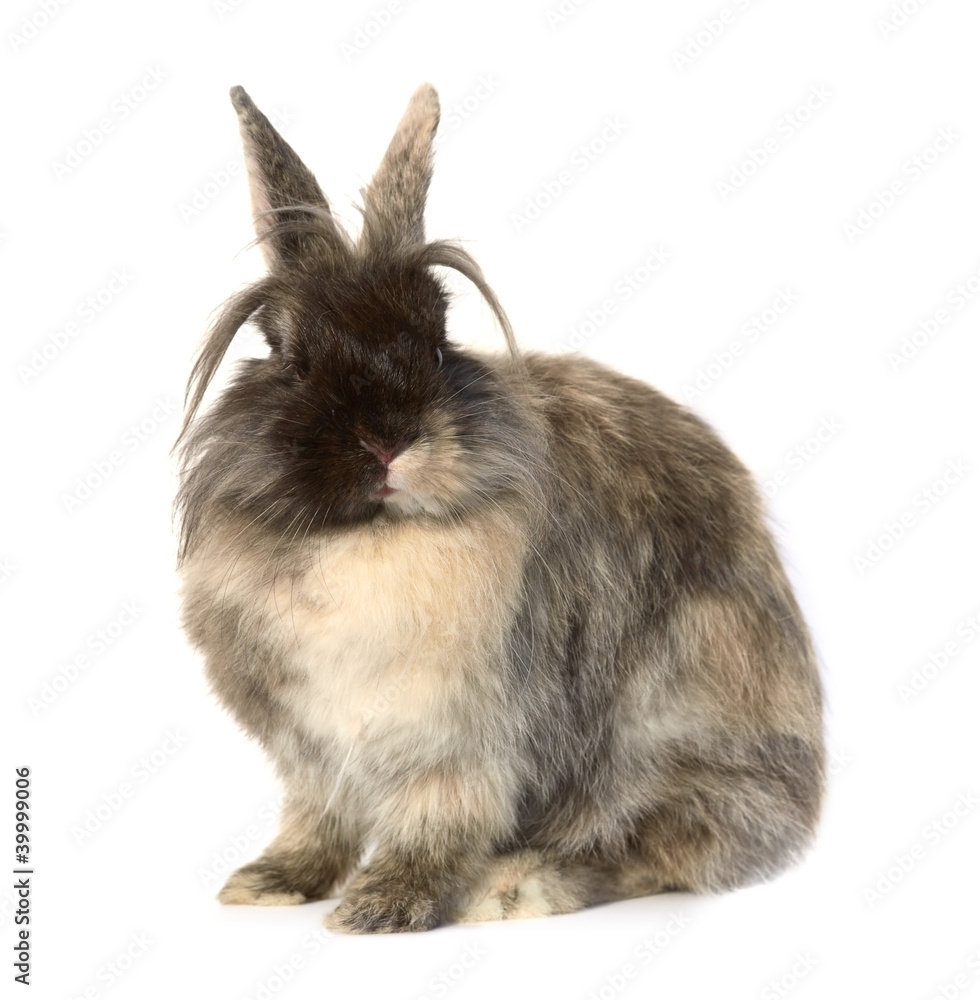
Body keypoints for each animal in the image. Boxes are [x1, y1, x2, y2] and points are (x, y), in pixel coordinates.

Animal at [175, 83, 825, 934]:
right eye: (295, 357)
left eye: (436, 341)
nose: (390, 440)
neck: (368, 539)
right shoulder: (312, 753)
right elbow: (317, 818)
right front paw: (270, 881)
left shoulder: (464, 742)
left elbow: (437, 821)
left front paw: (381, 907)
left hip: (679, 733)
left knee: (661, 843)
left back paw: (519, 887)